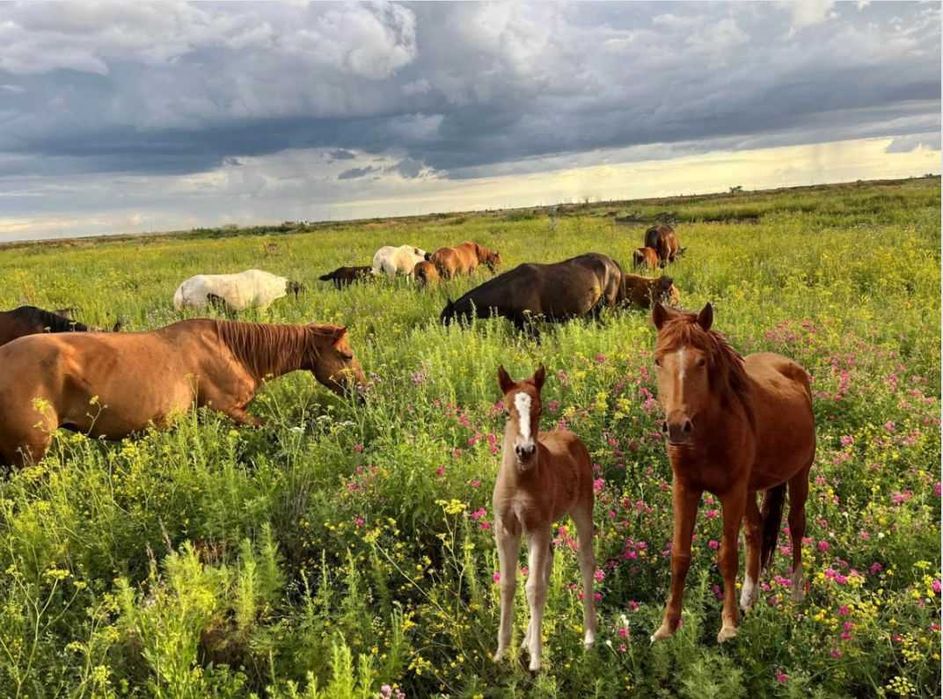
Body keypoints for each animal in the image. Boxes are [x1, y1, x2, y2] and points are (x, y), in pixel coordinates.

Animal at [0, 320, 366, 468]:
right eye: (347, 356)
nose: (365, 394)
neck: (229, 349)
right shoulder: (228, 410)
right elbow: (271, 430)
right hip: (28, 455)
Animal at [440, 253, 623, 331]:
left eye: (447, 321)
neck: (510, 290)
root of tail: (611, 262)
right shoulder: (519, 324)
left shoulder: (532, 323)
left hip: (604, 307)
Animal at [492, 365, 596, 672]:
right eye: (506, 412)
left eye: (538, 410)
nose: (525, 451)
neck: (520, 482)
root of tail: (573, 438)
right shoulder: (506, 528)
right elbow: (508, 584)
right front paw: (502, 652)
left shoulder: (537, 527)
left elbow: (534, 587)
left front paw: (536, 660)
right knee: (548, 563)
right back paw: (525, 642)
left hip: (582, 509)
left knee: (586, 562)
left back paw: (589, 638)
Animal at [649, 302, 815, 644]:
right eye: (658, 360)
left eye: (701, 361)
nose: (676, 426)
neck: (710, 434)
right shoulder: (685, 488)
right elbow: (680, 554)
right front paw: (668, 626)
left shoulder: (731, 493)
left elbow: (727, 556)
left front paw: (728, 626)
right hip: (751, 489)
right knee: (755, 530)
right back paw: (749, 599)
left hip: (799, 475)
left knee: (796, 525)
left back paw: (796, 595)